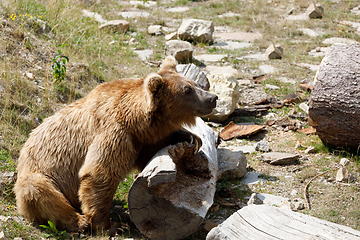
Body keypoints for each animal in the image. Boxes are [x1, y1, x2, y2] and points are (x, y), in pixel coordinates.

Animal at [13, 56, 217, 232]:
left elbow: (150, 151)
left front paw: (191, 137)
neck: (134, 119)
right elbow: (100, 173)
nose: (212, 98)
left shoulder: (139, 140)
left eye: (195, 84)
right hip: (40, 174)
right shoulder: (114, 132)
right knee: (39, 192)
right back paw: (79, 222)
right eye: (187, 90)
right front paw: (110, 225)